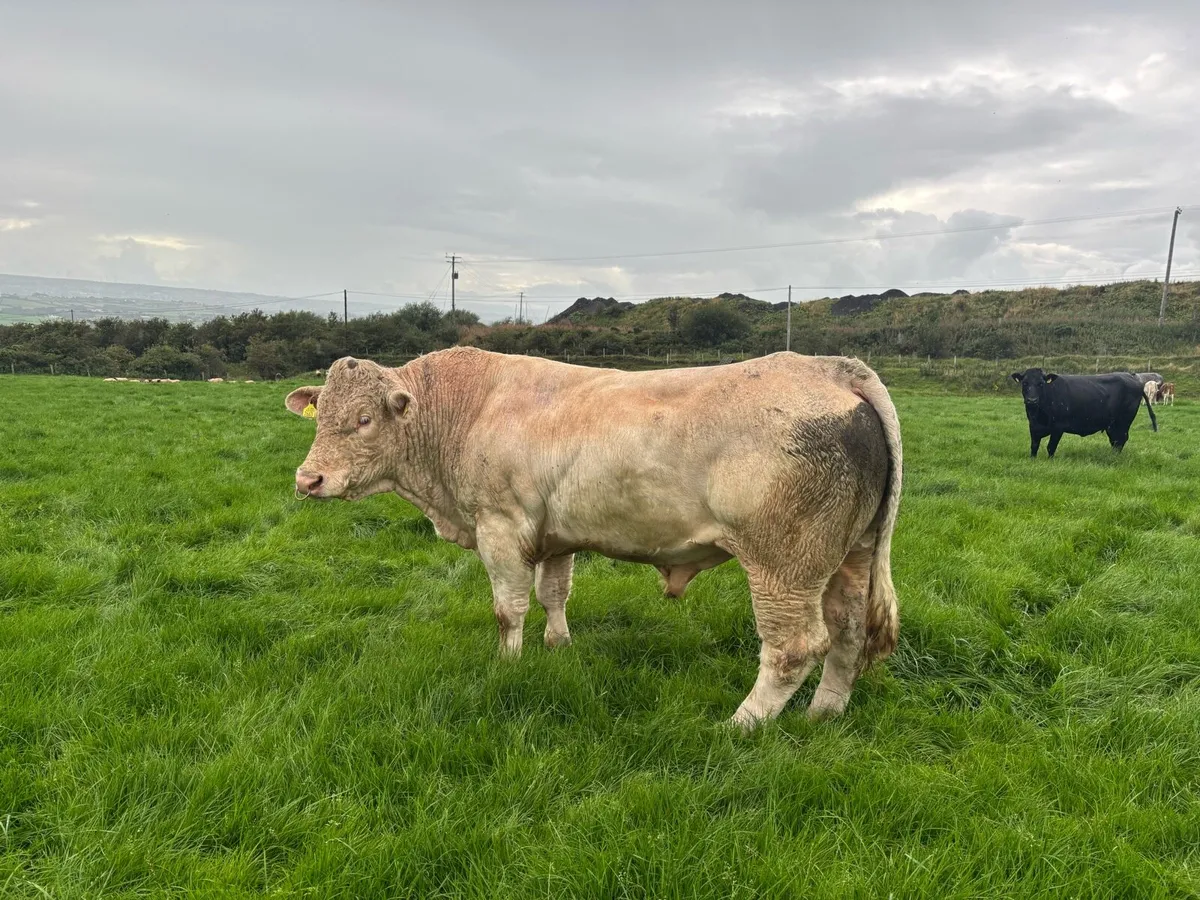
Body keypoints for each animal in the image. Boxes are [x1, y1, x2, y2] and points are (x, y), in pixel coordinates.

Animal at [285, 349, 904, 729]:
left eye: (364, 419)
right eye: (321, 415)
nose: (308, 479)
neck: (464, 410)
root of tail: (831, 368)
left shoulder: (499, 526)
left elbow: (508, 608)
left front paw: (507, 665)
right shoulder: (555, 535)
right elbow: (552, 594)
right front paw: (558, 647)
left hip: (783, 564)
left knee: (794, 646)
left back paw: (742, 723)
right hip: (850, 554)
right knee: (848, 631)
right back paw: (823, 714)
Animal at [1011, 368, 1156, 458]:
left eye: (1041, 384)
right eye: (1025, 383)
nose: (1032, 400)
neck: (1039, 415)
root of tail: (1132, 377)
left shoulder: (1058, 428)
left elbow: (1051, 447)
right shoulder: (1033, 427)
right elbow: (1034, 447)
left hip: (1124, 421)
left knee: (1121, 439)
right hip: (1112, 425)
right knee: (1115, 441)